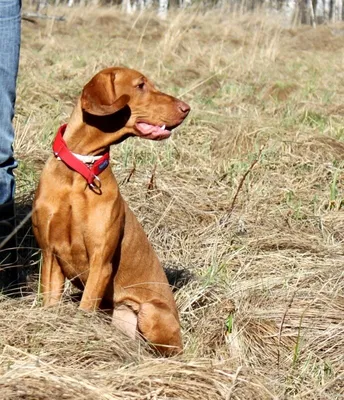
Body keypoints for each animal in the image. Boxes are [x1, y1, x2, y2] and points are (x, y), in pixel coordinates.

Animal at [31, 68, 191, 356]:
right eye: (140, 85)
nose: (187, 108)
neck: (81, 171)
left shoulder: (101, 261)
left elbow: (85, 308)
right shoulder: (50, 254)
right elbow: (50, 300)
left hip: (151, 312)